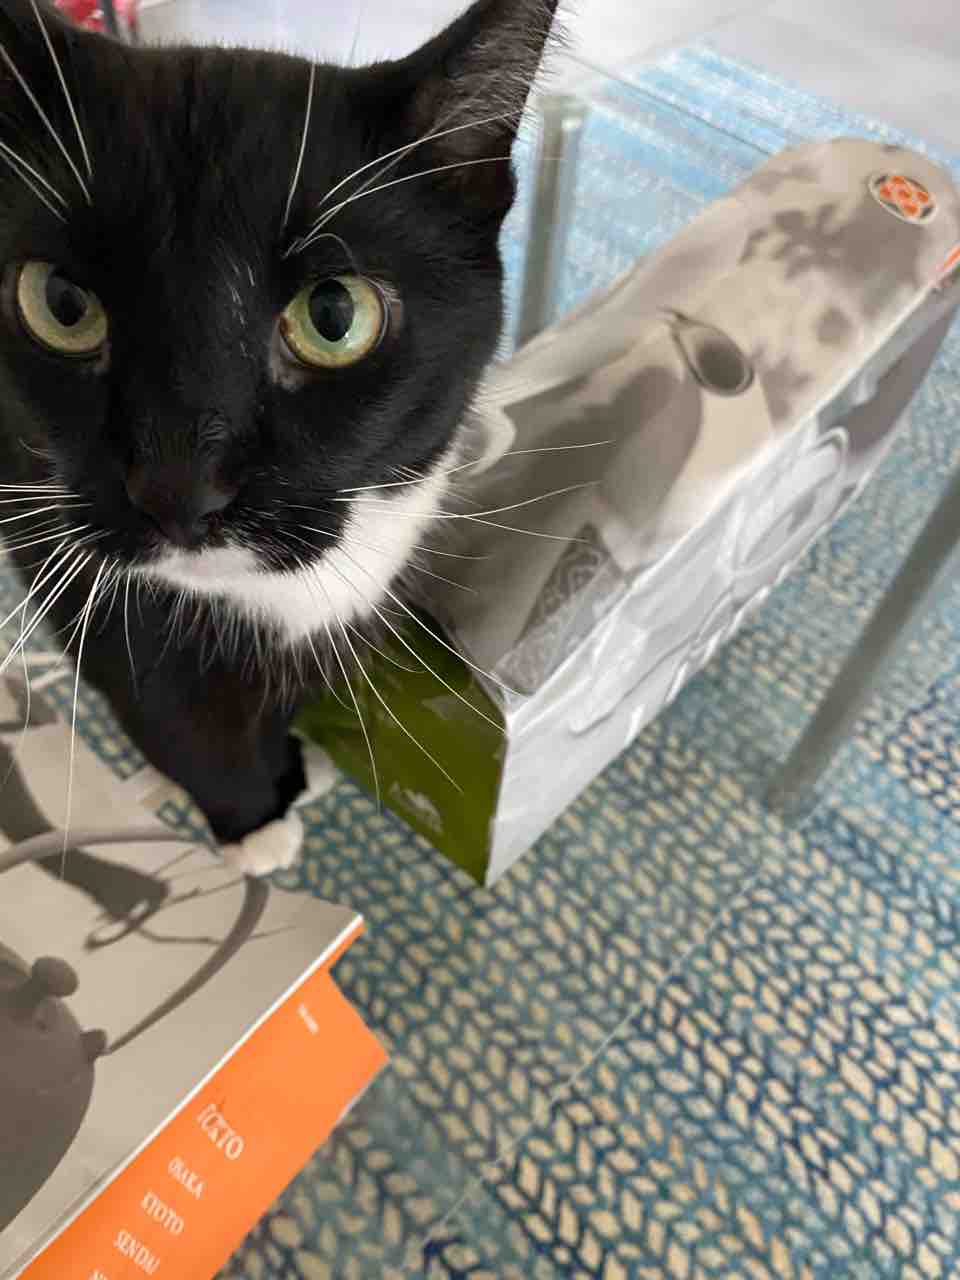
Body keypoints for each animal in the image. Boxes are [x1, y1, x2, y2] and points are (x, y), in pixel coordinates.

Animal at [0, 0, 560, 874]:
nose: (180, 488)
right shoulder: (53, 537)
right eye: (61, 303)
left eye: (334, 316)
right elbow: (165, 703)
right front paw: (255, 819)